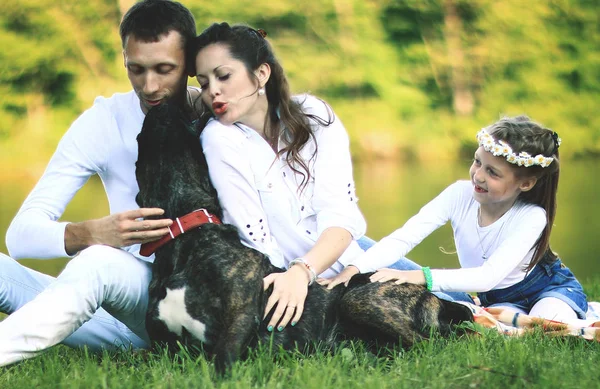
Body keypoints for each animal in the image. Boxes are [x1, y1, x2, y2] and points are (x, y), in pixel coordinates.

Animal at [136, 104, 474, 372]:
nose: (163, 105)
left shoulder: (239, 322)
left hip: (359, 300)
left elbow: (222, 364)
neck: (186, 235)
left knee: (435, 345)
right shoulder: (160, 348)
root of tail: (433, 297)